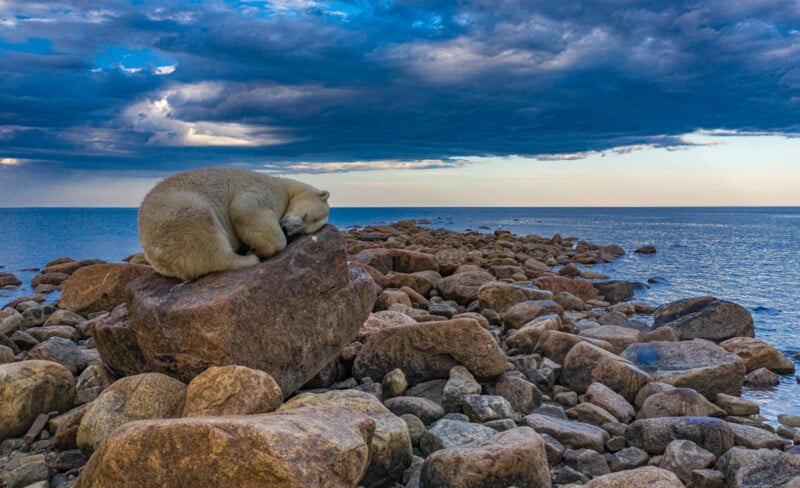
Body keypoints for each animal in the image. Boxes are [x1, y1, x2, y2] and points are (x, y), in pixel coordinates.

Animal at [138, 167, 328, 280]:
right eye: (305, 215)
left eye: (304, 231)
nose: (286, 229)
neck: (283, 185)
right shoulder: (262, 189)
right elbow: (244, 208)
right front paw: (258, 248)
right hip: (179, 214)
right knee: (207, 240)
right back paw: (249, 258)